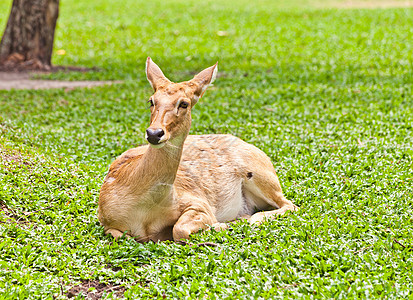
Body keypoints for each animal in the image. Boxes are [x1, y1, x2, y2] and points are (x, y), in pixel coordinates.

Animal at [97, 57, 296, 243]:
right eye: (151, 101)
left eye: (184, 103)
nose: (154, 133)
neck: (143, 211)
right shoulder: (106, 220)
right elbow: (121, 235)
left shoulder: (199, 203)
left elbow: (179, 229)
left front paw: (222, 225)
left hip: (260, 175)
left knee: (288, 204)